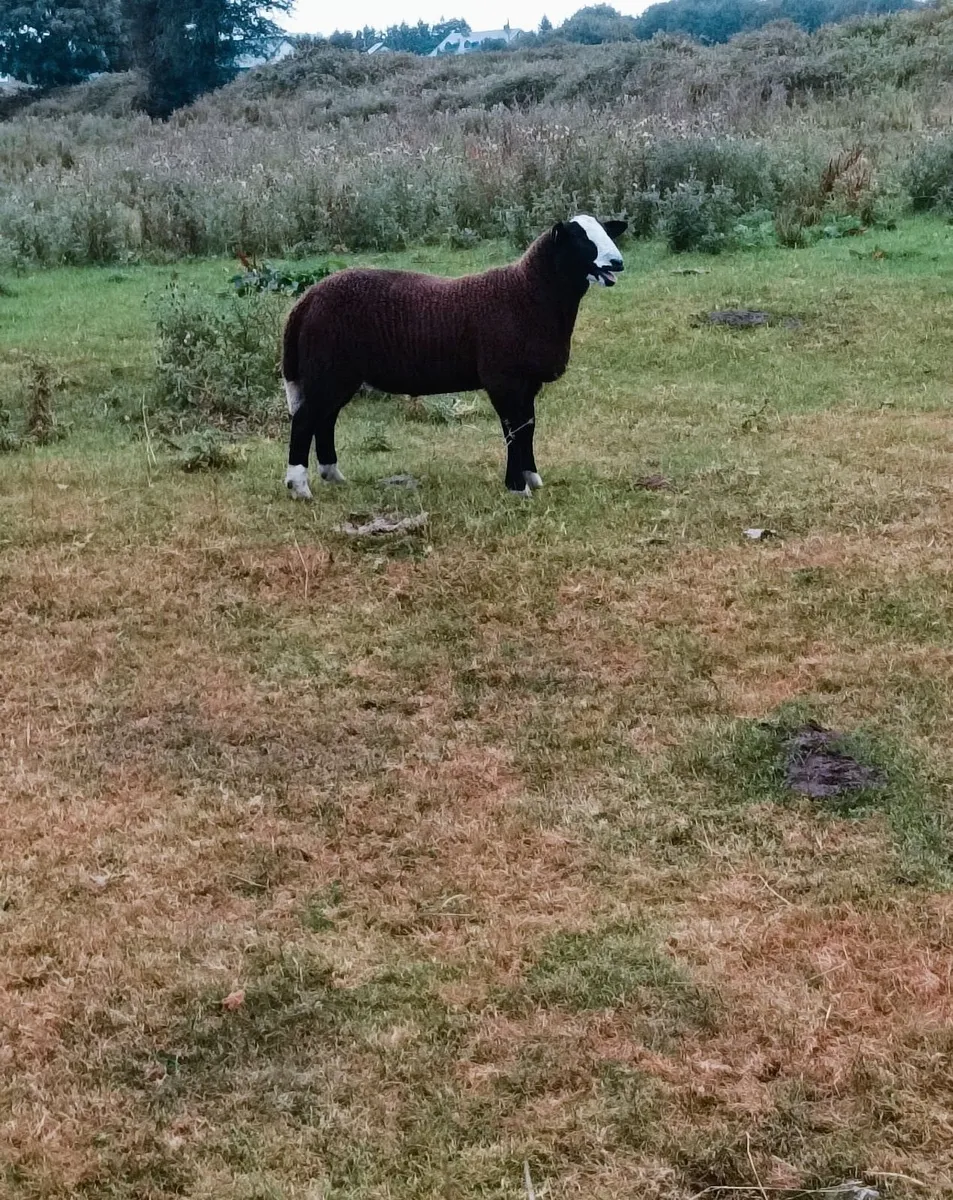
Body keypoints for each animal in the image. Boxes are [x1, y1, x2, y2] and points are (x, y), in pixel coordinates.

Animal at [281, 214, 627, 499]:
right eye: (581, 238)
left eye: (606, 232)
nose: (617, 263)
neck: (527, 293)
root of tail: (306, 301)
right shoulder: (503, 378)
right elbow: (513, 430)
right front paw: (517, 487)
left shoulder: (527, 381)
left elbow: (527, 427)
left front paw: (532, 478)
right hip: (329, 368)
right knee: (305, 420)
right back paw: (299, 486)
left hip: (339, 373)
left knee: (325, 418)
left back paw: (333, 475)